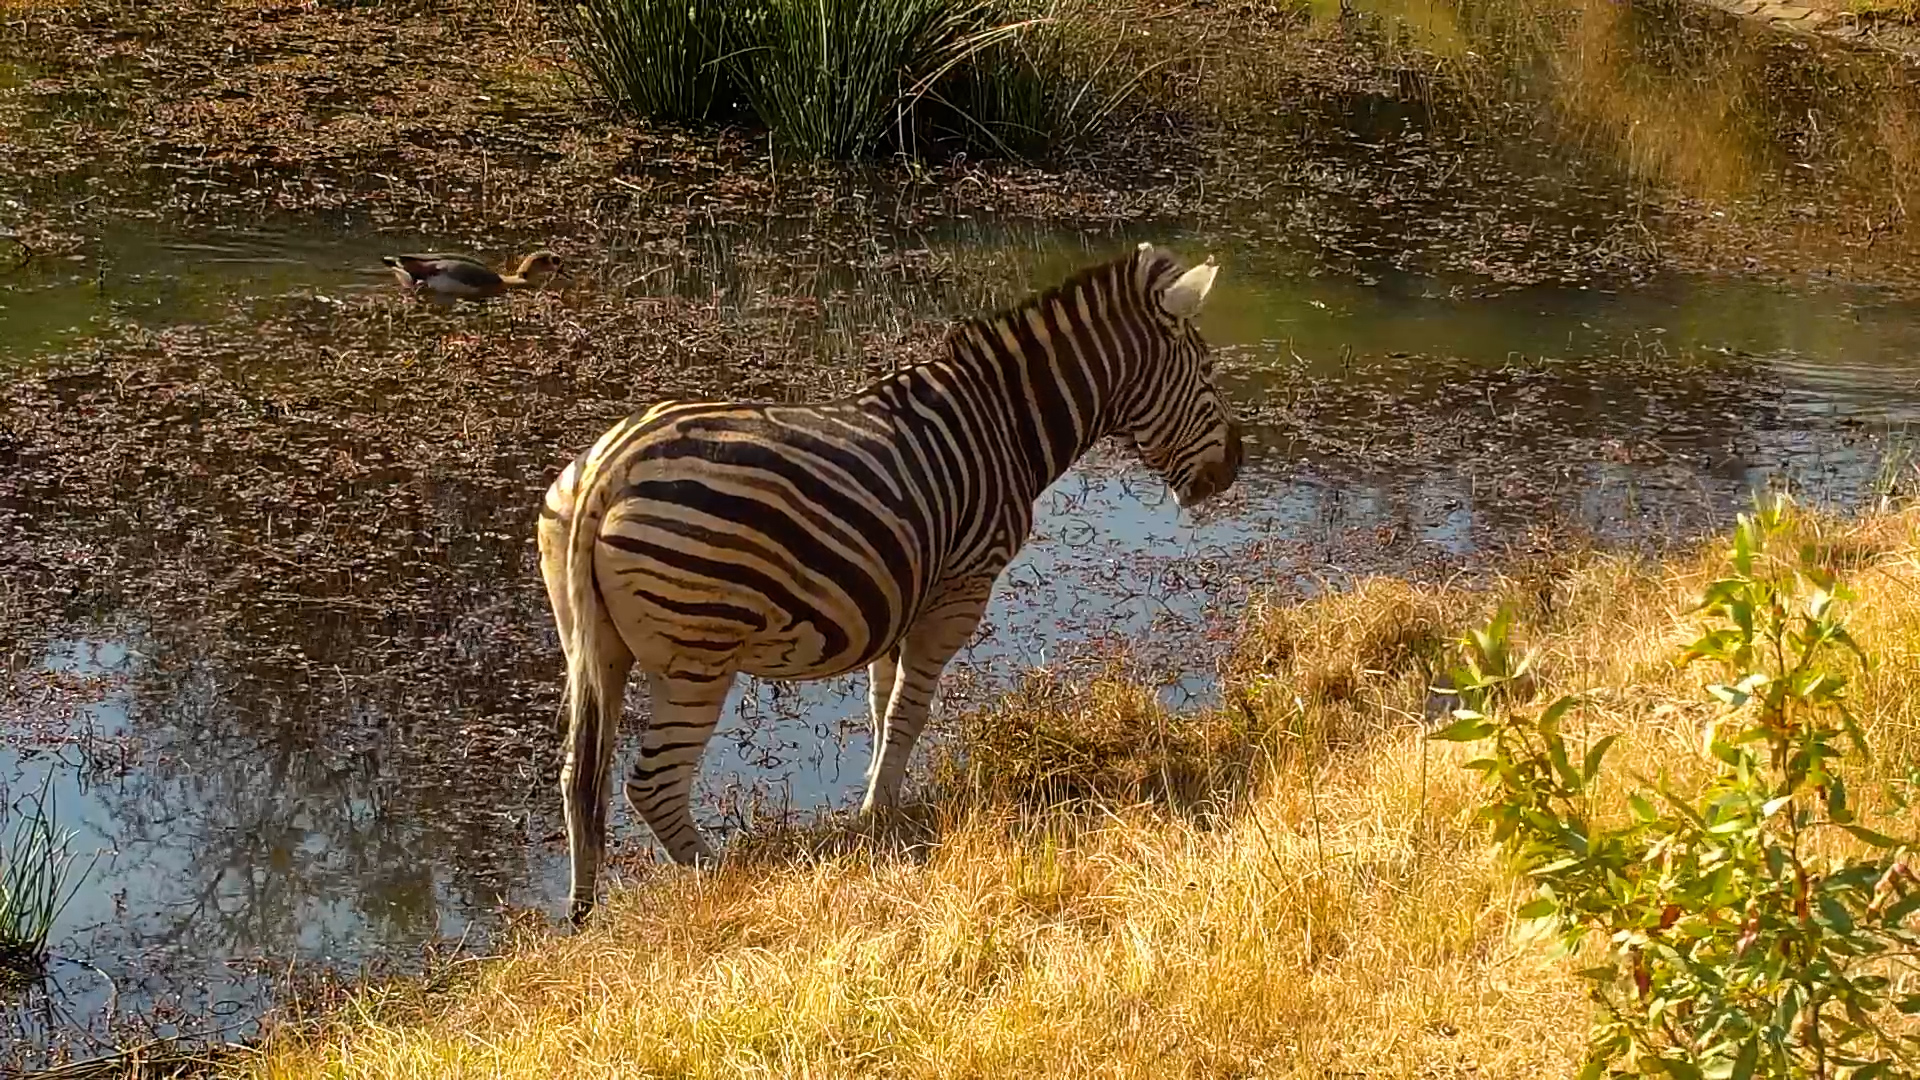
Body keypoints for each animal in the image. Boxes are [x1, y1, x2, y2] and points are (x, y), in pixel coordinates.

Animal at [537, 241, 1243, 924]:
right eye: (1208, 375)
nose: (1234, 469)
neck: (1006, 424)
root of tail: (609, 469)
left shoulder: (898, 595)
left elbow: (882, 706)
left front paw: (879, 805)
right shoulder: (960, 591)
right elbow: (910, 707)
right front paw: (881, 816)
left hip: (592, 647)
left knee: (579, 775)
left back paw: (582, 910)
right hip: (699, 656)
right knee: (652, 784)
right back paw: (721, 881)